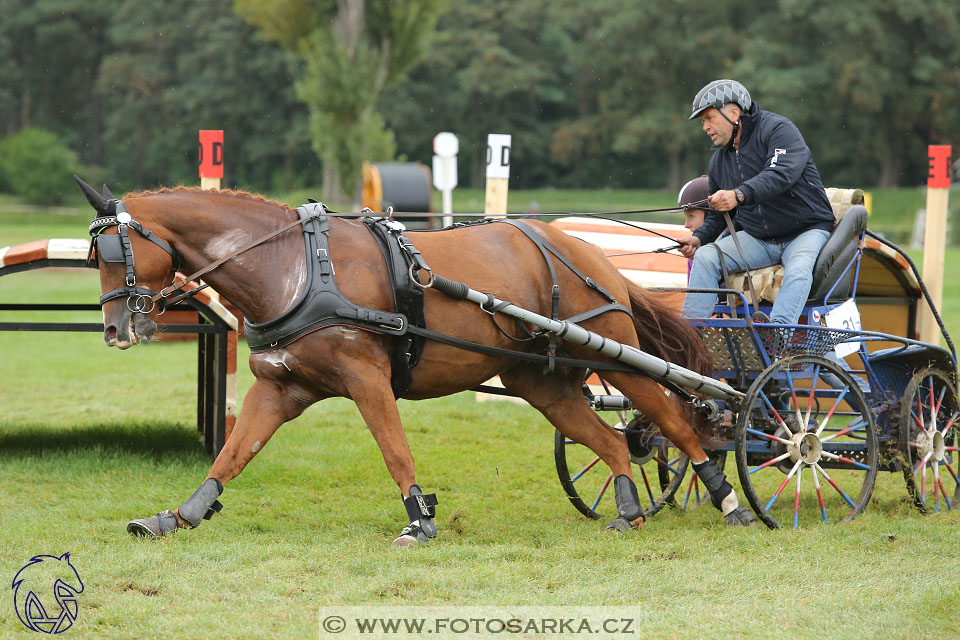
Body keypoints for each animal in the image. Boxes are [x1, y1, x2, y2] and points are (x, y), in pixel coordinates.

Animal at [77, 180, 752, 544]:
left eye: (114, 252)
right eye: (93, 256)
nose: (113, 330)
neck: (297, 266)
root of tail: (583, 248)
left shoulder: (367, 380)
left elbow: (394, 450)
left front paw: (419, 520)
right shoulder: (278, 387)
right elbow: (232, 455)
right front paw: (177, 516)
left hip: (611, 356)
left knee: (675, 419)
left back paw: (729, 499)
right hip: (543, 382)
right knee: (614, 443)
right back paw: (629, 511)